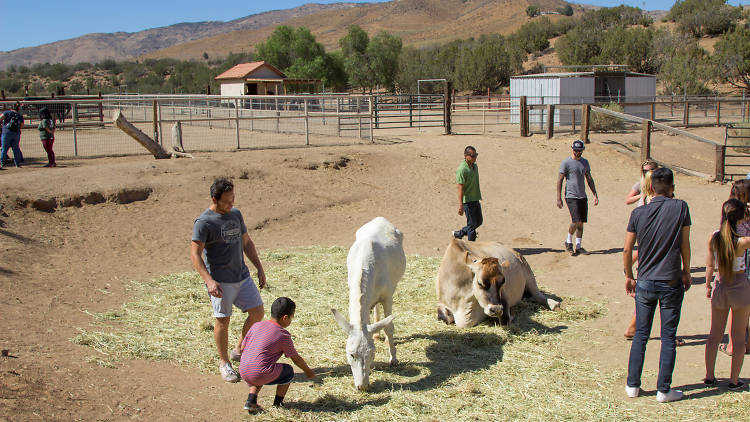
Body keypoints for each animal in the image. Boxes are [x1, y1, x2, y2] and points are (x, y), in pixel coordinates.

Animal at [334, 219, 406, 390]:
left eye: (372, 353)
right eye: (351, 354)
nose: (363, 386)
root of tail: (380, 218)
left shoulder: (387, 296)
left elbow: (389, 327)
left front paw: (393, 359)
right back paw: (376, 333)